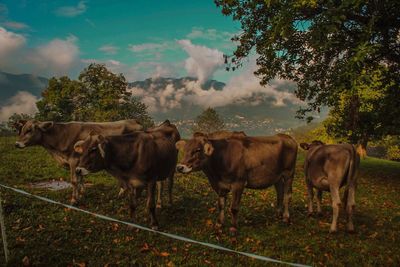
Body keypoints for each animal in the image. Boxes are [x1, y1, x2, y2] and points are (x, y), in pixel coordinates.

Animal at [14, 120, 142, 204]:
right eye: (21, 130)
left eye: (29, 130)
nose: (16, 144)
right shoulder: (79, 163)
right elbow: (81, 179)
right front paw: (81, 194)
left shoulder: (73, 161)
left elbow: (74, 181)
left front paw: (74, 200)